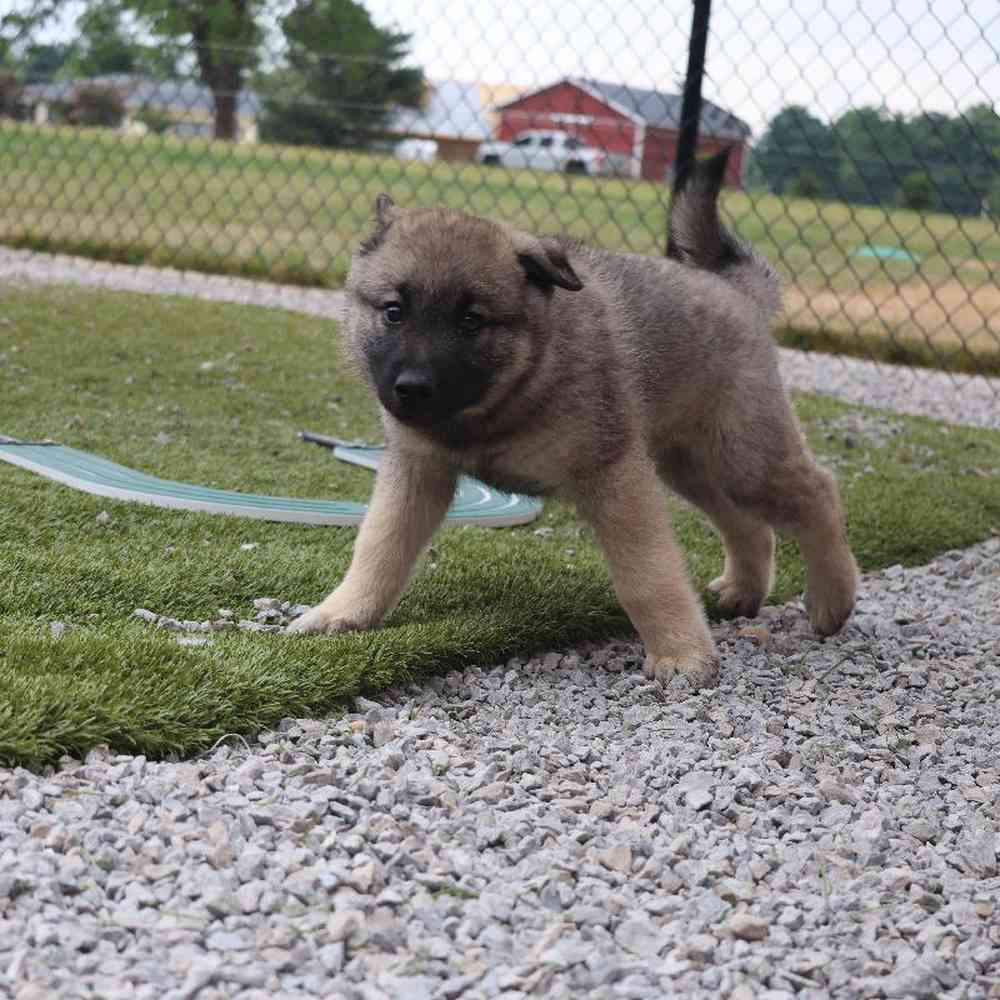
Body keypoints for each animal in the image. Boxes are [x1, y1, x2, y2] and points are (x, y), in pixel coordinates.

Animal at [290, 154, 860, 688]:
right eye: (393, 311)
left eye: (471, 321)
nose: (411, 389)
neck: (512, 393)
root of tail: (736, 292)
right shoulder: (416, 471)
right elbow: (380, 546)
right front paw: (344, 612)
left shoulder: (615, 478)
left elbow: (647, 573)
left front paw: (679, 653)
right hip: (688, 464)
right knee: (744, 521)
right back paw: (745, 589)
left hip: (745, 457)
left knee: (818, 492)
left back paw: (832, 600)